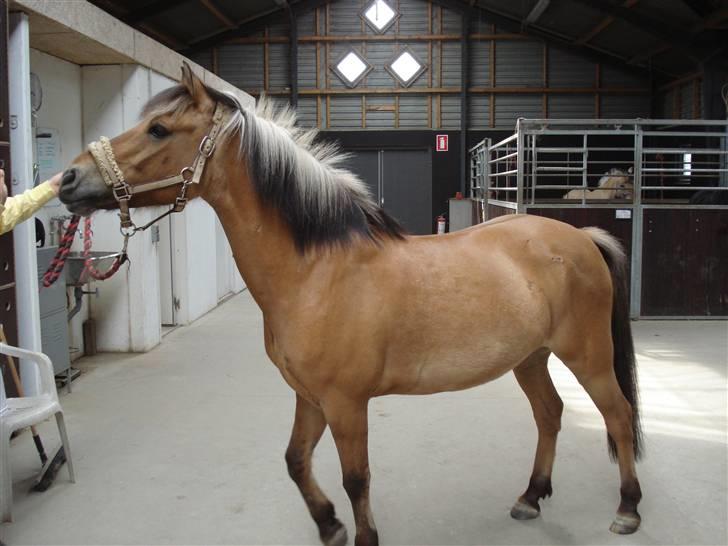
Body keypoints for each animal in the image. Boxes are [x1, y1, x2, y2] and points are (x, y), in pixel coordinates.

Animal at [58, 63, 643, 546]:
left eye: (158, 129)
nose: (69, 179)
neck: (316, 273)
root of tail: (583, 237)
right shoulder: (309, 395)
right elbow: (296, 461)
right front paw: (329, 526)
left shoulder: (345, 401)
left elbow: (356, 477)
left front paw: (361, 535)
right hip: (530, 357)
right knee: (551, 414)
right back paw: (530, 497)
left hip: (586, 355)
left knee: (617, 414)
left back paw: (628, 509)